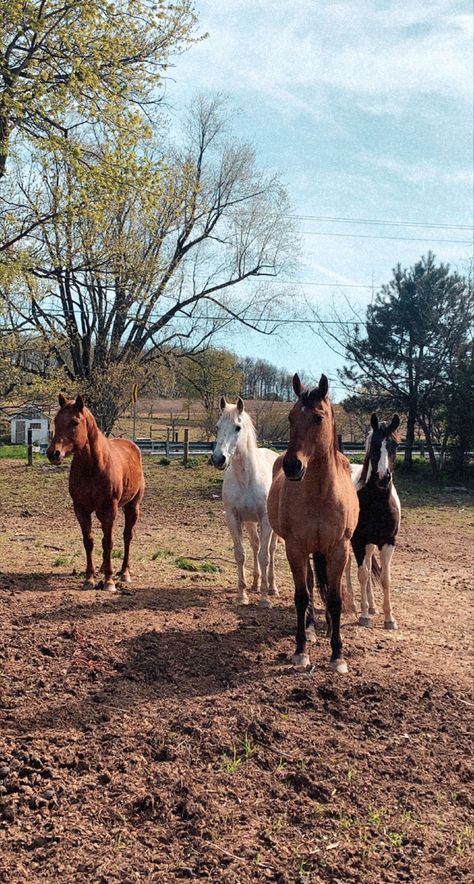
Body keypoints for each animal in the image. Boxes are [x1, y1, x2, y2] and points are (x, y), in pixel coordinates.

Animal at [48, 396, 145, 592]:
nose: (53, 453)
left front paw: (109, 581)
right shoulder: (81, 509)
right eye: (55, 420)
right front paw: (89, 578)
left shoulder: (109, 510)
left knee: (127, 536)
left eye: (74, 422)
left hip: (132, 507)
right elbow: (89, 541)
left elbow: (108, 542)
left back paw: (124, 572)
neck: (92, 467)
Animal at [266, 376, 360, 672]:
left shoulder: (339, 549)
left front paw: (338, 654)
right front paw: (300, 650)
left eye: (318, 418)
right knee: (308, 584)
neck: (320, 494)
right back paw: (309, 630)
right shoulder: (296, 547)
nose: (292, 466)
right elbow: (302, 596)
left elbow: (336, 598)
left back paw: (328, 628)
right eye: (291, 417)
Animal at [344, 412, 400, 628]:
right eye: (374, 445)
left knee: (368, 566)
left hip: (370, 545)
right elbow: (362, 574)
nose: (383, 478)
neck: (377, 502)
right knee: (350, 567)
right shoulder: (358, 541)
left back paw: (373, 606)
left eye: (395, 445)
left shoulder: (388, 542)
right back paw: (352, 605)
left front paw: (389, 618)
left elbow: (385, 578)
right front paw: (364, 616)